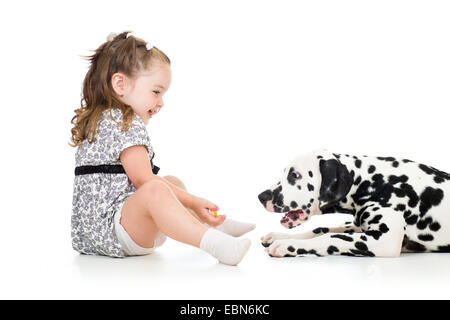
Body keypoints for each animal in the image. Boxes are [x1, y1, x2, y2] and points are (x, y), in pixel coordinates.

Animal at [256, 149, 450, 258]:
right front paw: (280, 236)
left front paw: (288, 245)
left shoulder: (384, 240)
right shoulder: (358, 225)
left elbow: (330, 237)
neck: (371, 182)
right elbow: (321, 229)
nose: (261, 196)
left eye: (295, 175)